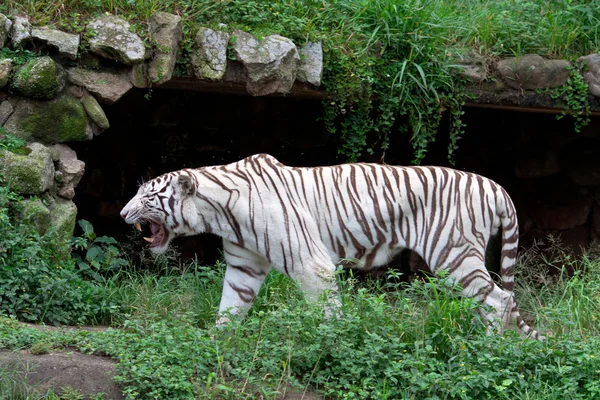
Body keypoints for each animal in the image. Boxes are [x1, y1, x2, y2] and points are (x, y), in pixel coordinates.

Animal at [119, 152, 540, 338]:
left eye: (148, 196)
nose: (123, 213)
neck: (219, 212)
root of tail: (496, 186)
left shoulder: (310, 263)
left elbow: (327, 310)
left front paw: (333, 344)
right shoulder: (244, 265)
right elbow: (231, 306)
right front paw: (217, 342)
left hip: (453, 253)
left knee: (499, 299)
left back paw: (487, 346)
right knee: (494, 300)